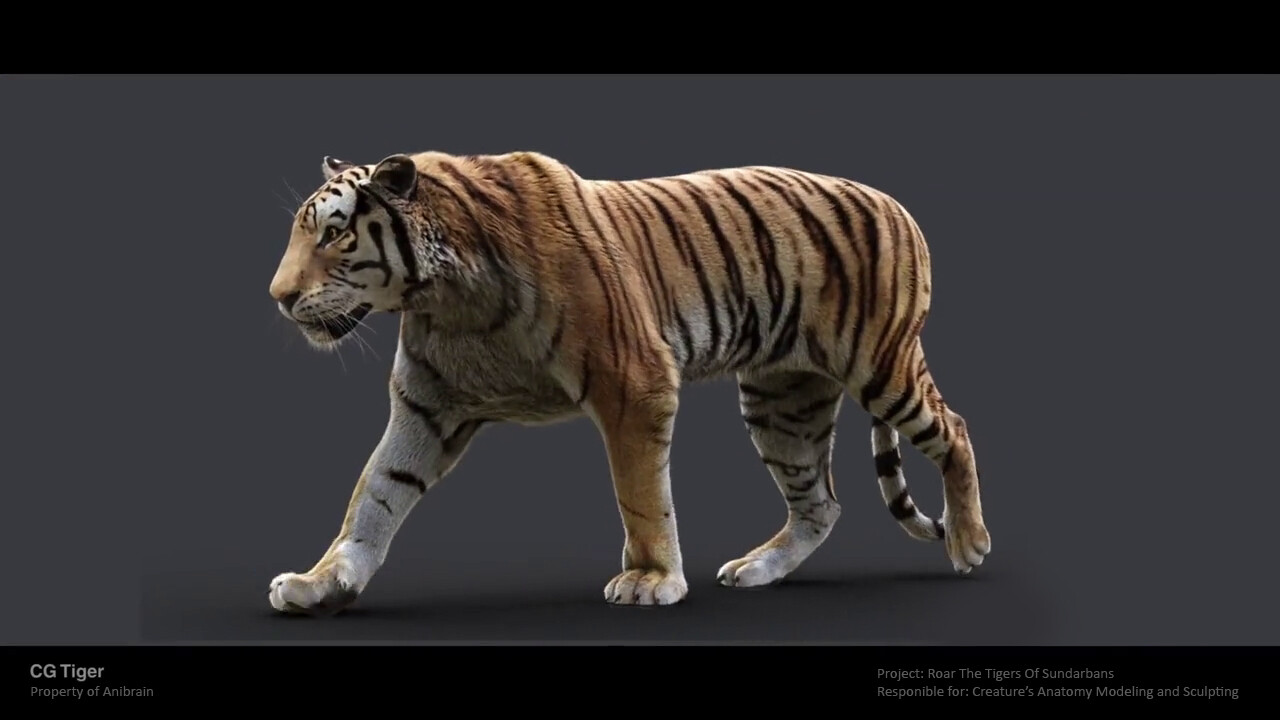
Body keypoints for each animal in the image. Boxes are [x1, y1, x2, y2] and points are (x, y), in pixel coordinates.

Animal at [266, 150, 991, 615]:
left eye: (335, 235)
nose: (278, 297)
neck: (445, 295)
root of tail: (894, 202)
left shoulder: (634, 383)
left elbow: (641, 495)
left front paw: (650, 579)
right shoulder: (424, 406)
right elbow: (374, 496)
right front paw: (321, 583)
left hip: (879, 363)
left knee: (954, 430)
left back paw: (968, 545)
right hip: (782, 397)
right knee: (820, 502)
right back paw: (759, 568)